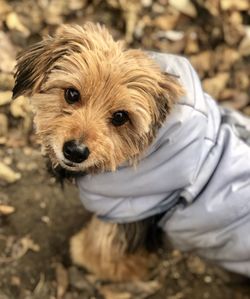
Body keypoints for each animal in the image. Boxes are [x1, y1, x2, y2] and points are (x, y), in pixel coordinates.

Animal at [12, 22, 250, 282]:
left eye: (120, 117)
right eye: (72, 94)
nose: (75, 151)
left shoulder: (127, 215)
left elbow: (101, 254)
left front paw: (81, 251)